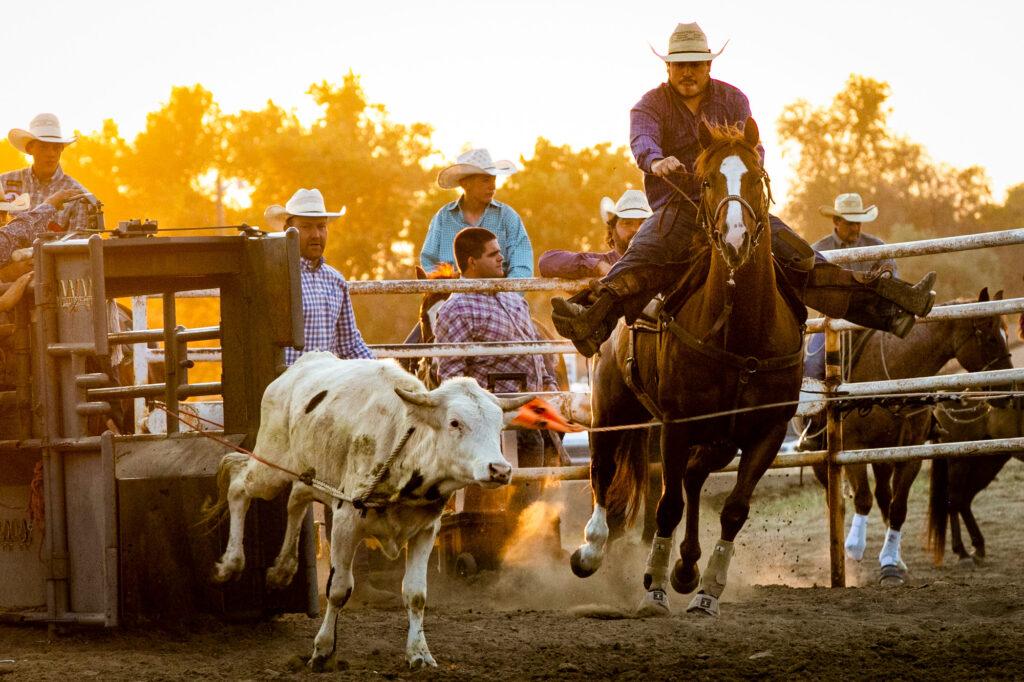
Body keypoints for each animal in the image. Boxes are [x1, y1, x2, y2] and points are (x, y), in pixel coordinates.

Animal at [565, 118, 802, 614]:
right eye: (707, 181)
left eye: (756, 178)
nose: (734, 239)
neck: (742, 332)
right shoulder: (675, 425)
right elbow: (667, 506)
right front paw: (653, 587)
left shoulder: (768, 431)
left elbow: (733, 509)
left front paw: (707, 589)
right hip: (612, 409)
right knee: (602, 467)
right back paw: (591, 550)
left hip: (718, 439)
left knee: (693, 478)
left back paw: (687, 567)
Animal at [811, 288, 1011, 581]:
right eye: (990, 337)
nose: (1007, 391)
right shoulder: (853, 447)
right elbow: (862, 499)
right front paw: (854, 548)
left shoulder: (911, 453)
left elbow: (898, 507)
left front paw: (890, 564)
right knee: (836, 500)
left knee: (884, 495)